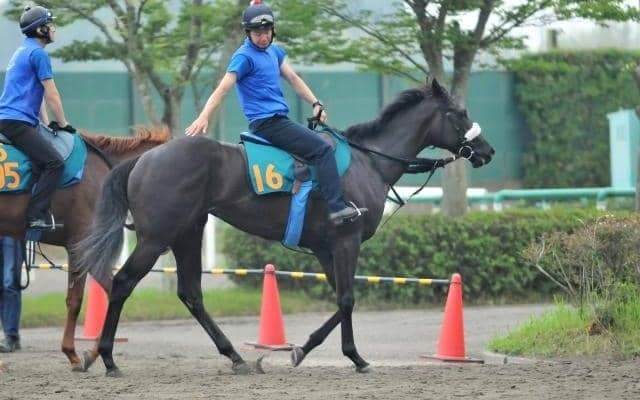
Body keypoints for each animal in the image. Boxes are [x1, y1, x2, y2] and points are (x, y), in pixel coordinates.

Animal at [73, 78, 495, 377]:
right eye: (458, 113)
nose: (487, 151)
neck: (368, 163)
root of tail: (144, 159)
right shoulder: (347, 240)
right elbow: (347, 299)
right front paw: (341, 355)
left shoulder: (326, 249)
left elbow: (341, 299)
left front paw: (318, 351)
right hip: (156, 237)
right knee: (122, 283)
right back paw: (106, 358)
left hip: (187, 234)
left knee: (191, 293)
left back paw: (236, 357)